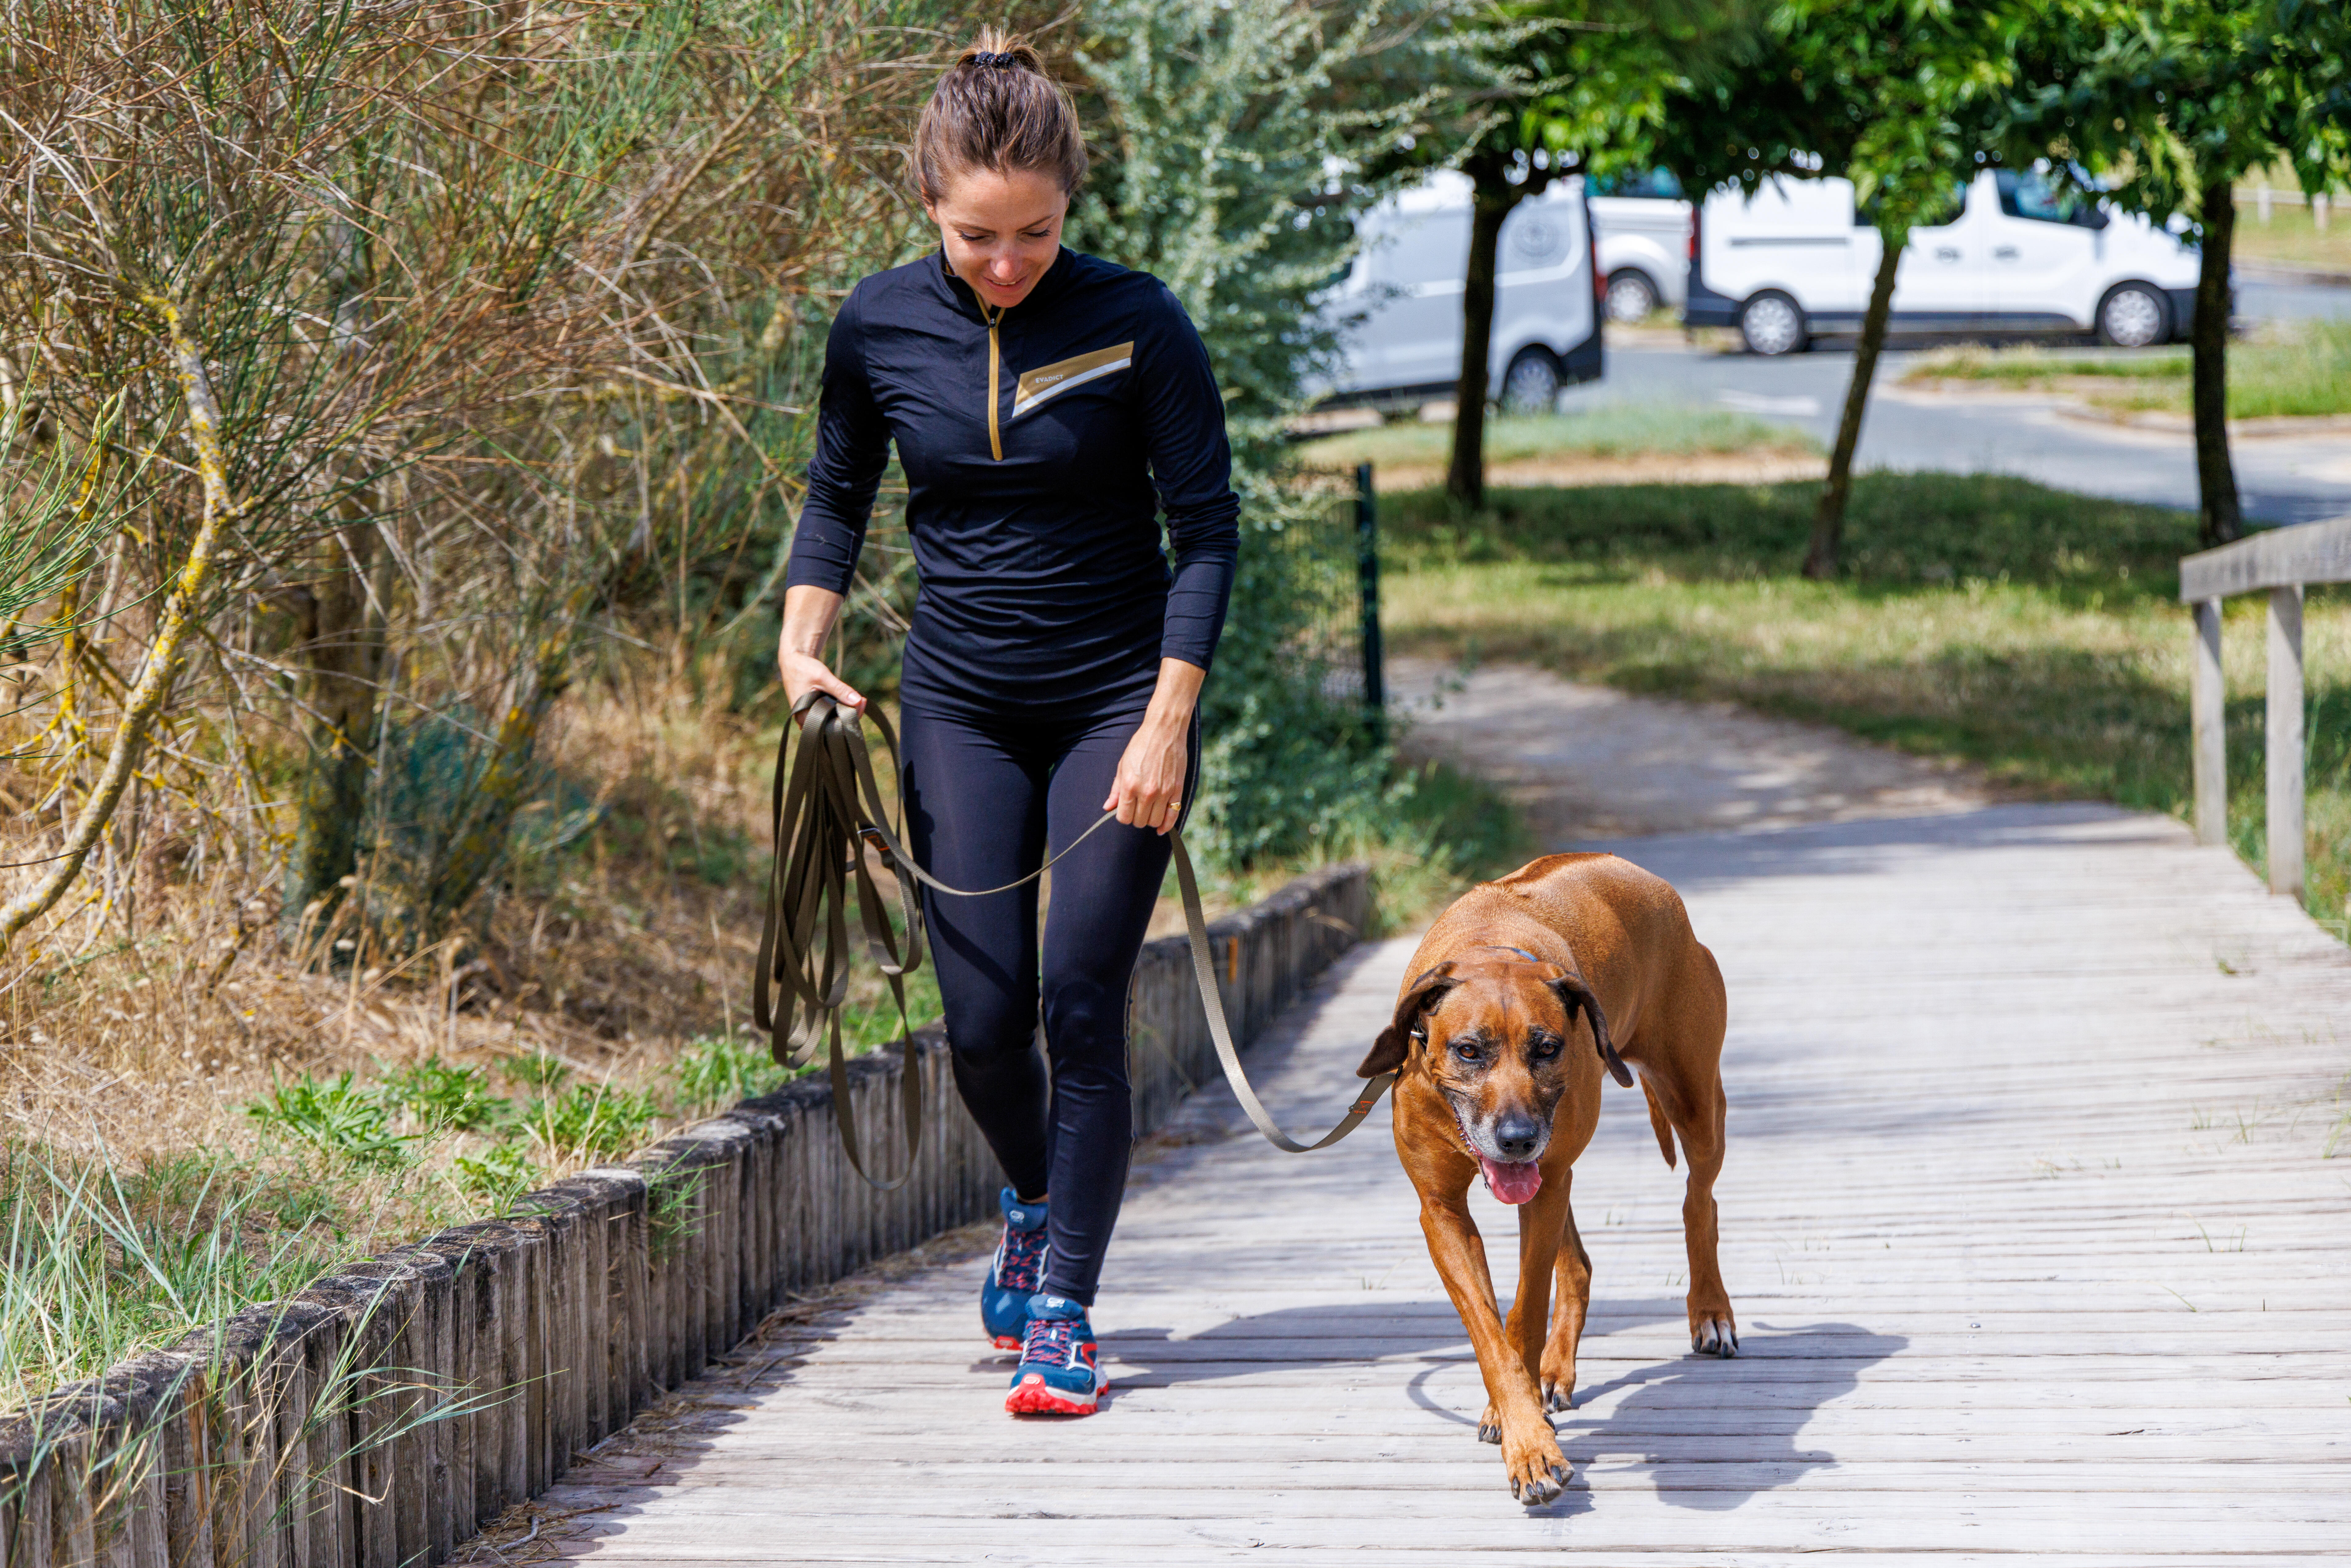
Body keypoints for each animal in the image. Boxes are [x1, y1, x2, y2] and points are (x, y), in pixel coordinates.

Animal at [1363, 851, 1730, 1504]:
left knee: (1699, 1201)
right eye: (1468, 1050)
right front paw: (1521, 1424)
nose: (1517, 1138)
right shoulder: (1442, 1210)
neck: (1487, 943)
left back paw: (1709, 1311)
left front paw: (1527, 1437)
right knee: (1577, 1261)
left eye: (1547, 1047)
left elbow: (1524, 1313)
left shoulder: (1543, 1180)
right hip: (1555, 1176)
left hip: (1691, 1102)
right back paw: (1555, 1370)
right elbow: (1490, 1333)